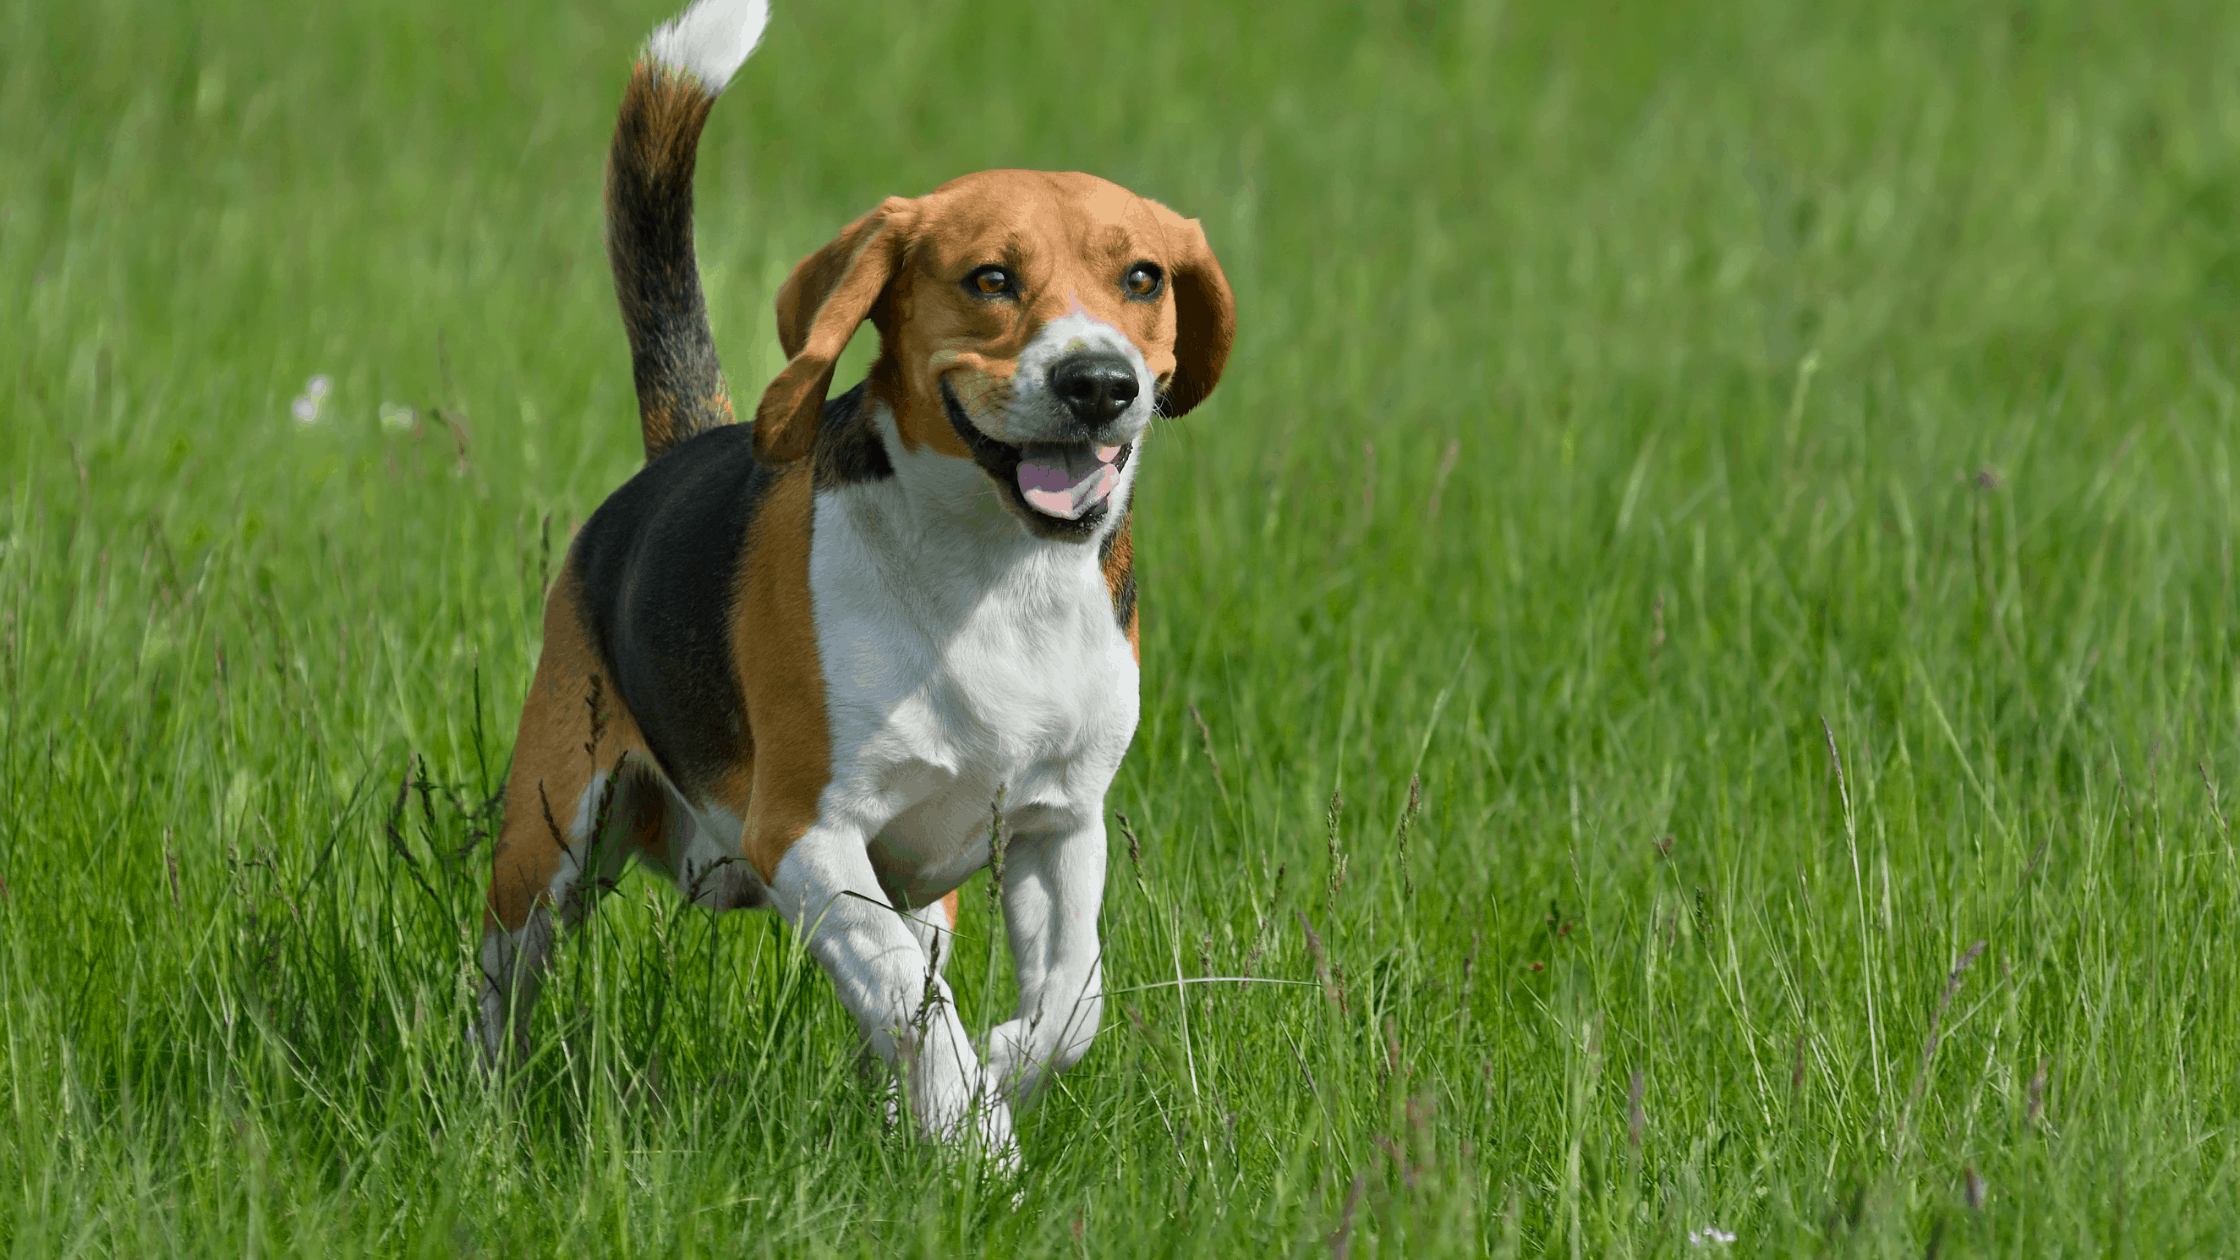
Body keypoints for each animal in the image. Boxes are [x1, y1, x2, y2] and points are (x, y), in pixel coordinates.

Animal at [477, 0, 1245, 1147]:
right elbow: (908, 1001)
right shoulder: (807, 834)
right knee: (502, 987)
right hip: (548, 835)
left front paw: (1000, 1072)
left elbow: (1071, 1000)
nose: (1099, 382)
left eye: (1142, 278)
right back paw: (478, 1110)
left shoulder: (1062, 822)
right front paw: (976, 1134)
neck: (998, 573)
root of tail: (680, 451)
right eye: (990, 279)